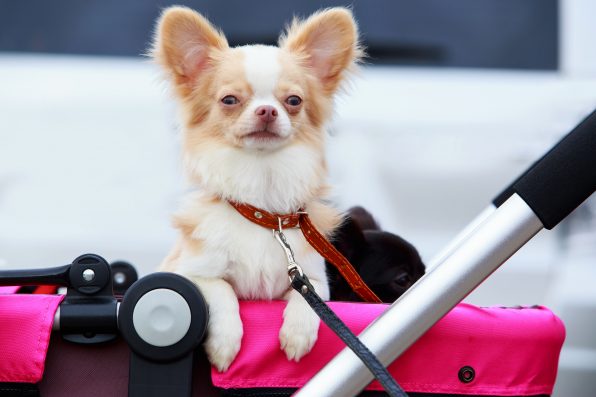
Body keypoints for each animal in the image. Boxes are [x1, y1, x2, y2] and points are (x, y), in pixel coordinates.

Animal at [151, 6, 360, 372]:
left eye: (294, 100)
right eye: (229, 100)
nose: (267, 110)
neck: (261, 208)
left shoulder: (311, 279)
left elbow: (307, 300)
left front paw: (297, 335)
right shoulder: (190, 274)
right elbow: (222, 292)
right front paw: (224, 343)